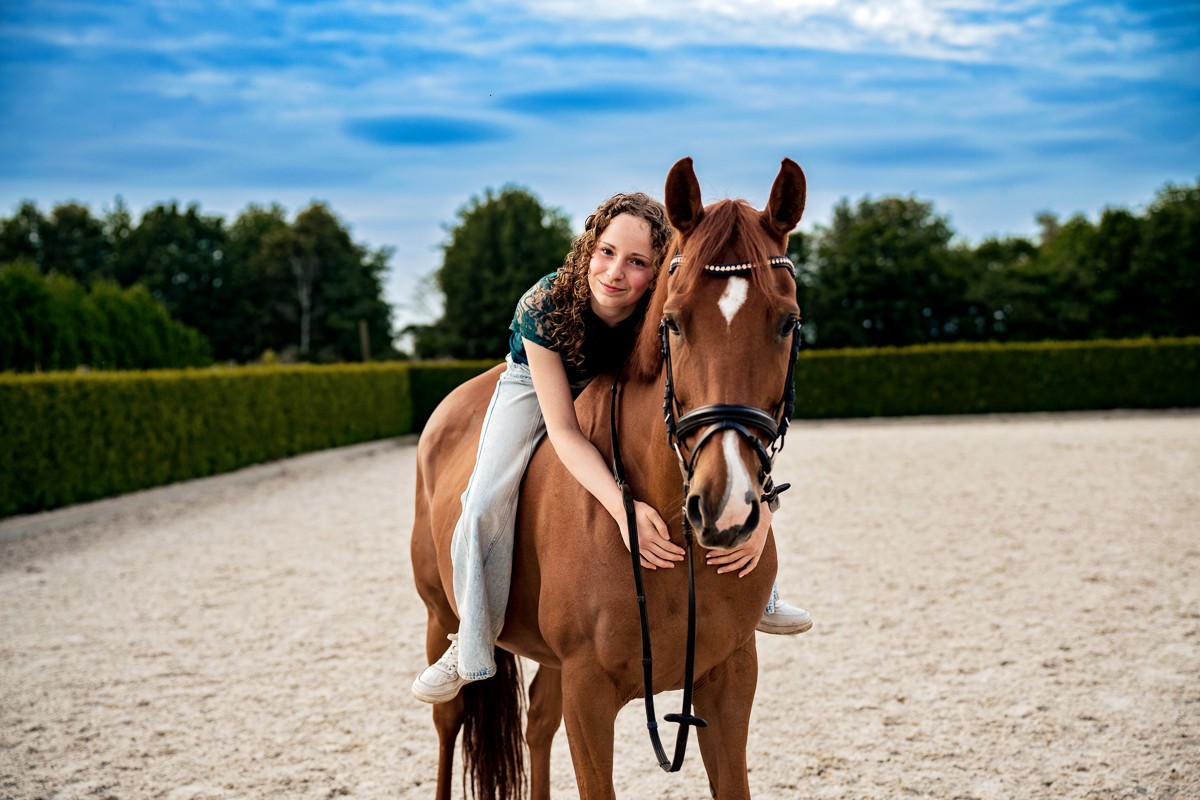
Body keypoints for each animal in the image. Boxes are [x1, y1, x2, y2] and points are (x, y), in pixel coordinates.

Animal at [410, 155, 806, 800]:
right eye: (673, 323)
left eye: (787, 323)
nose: (727, 506)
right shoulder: (589, 693)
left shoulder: (730, 679)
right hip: (441, 617)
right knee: (451, 719)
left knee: (537, 723)